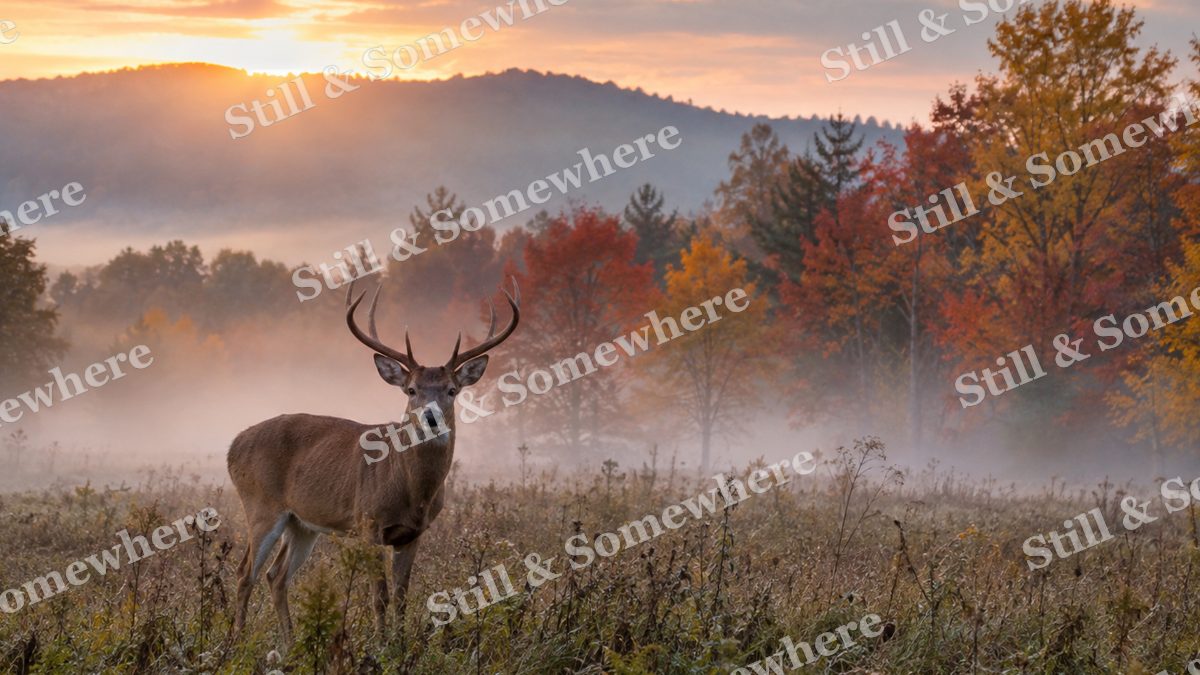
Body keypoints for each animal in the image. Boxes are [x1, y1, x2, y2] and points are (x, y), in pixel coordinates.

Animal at [227, 278, 519, 643]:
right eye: (411, 389)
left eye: (452, 390)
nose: (431, 417)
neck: (411, 491)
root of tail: (233, 445)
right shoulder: (369, 523)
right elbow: (379, 595)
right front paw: (380, 645)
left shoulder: (413, 533)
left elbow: (402, 595)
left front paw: (400, 642)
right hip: (261, 504)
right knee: (244, 574)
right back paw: (237, 642)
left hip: (302, 523)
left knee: (275, 576)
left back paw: (290, 643)